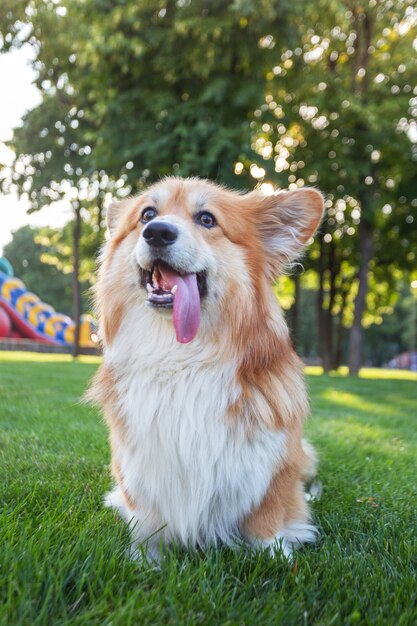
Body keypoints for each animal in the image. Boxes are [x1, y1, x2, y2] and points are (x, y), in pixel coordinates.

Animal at [87, 176, 322, 560]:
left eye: (207, 219)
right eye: (147, 214)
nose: (157, 232)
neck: (180, 356)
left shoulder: (275, 466)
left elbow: (268, 516)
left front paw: (276, 555)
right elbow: (146, 520)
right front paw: (144, 558)